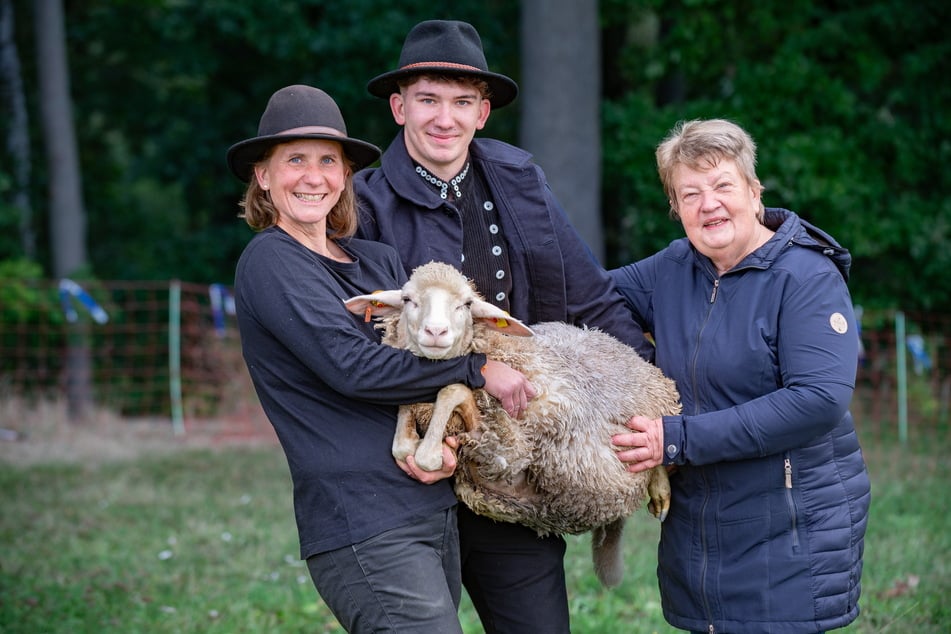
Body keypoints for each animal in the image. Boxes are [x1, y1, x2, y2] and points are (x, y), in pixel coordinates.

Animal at [346, 260, 680, 584]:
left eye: (466, 304)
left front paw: (430, 452)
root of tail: (605, 336)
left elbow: (451, 391)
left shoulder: (509, 447)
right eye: (407, 299)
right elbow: (404, 441)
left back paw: (660, 486)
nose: (436, 332)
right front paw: (421, 446)